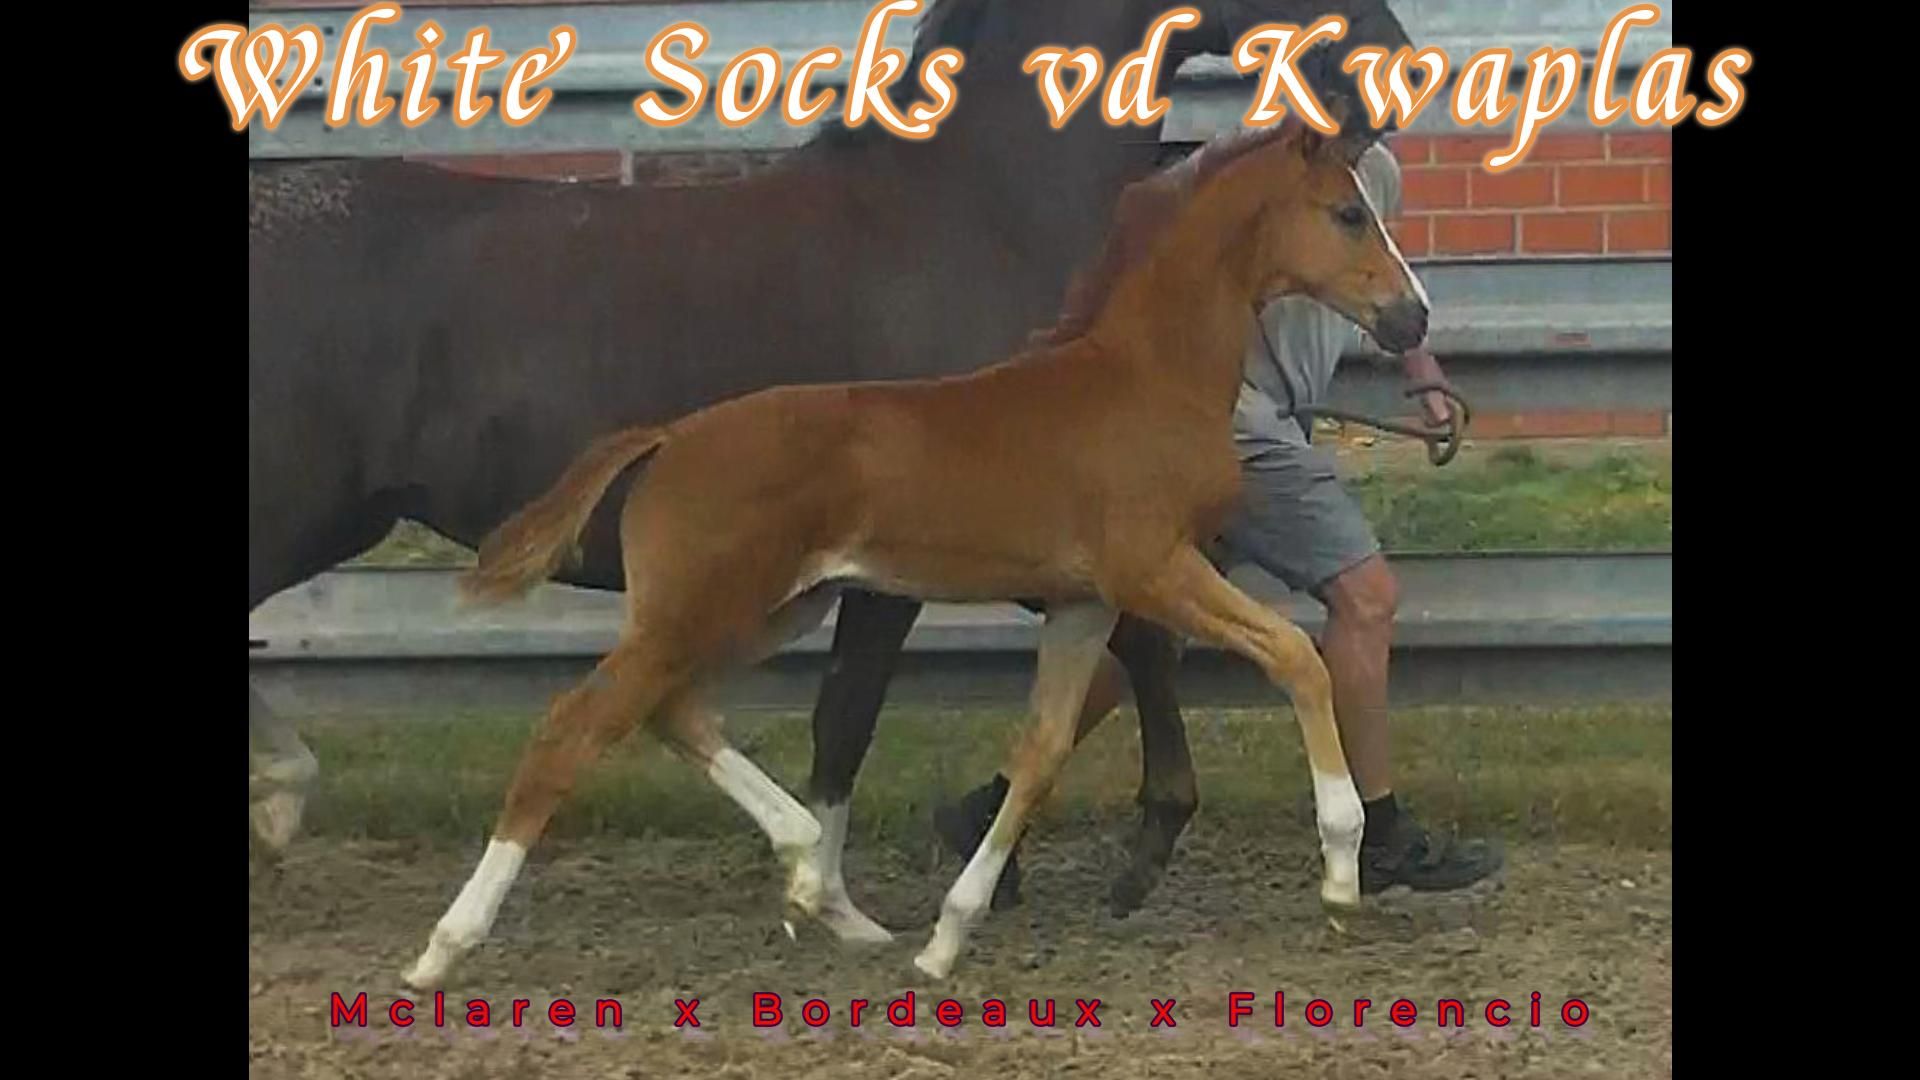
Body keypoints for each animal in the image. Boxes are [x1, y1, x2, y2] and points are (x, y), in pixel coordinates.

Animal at [247, 0, 1413, 927]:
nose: (1393, 65)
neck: (973, 204)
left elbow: (1121, 655)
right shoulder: (950, 545)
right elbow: (855, 714)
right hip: (301, 509)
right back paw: (289, 794)